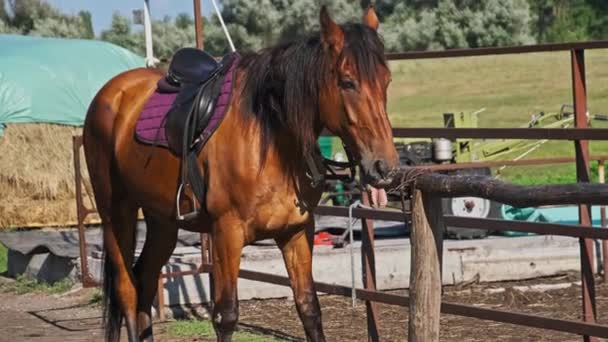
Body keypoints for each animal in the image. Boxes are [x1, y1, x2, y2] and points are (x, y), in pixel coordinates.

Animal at [84, 5, 400, 342]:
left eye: (386, 81)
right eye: (347, 81)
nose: (384, 167)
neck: (270, 140)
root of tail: (112, 92)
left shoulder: (296, 232)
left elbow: (309, 308)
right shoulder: (226, 234)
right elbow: (226, 316)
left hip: (162, 221)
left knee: (144, 279)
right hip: (117, 214)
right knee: (127, 290)